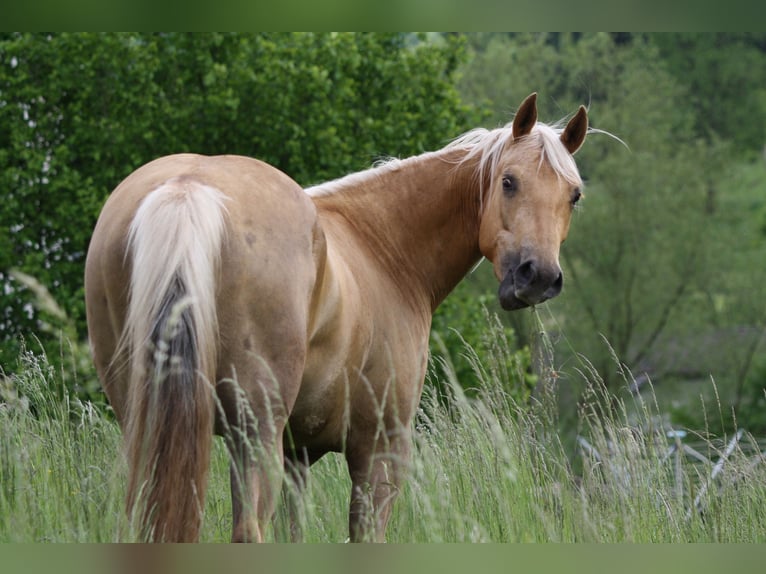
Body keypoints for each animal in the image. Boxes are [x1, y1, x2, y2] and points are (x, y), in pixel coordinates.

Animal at [85, 92, 588, 544]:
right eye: (509, 181)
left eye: (574, 196)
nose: (538, 276)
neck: (382, 245)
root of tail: (189, 187)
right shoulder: (380, 451)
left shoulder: (297, 456)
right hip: (255, 433)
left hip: (149, 425)